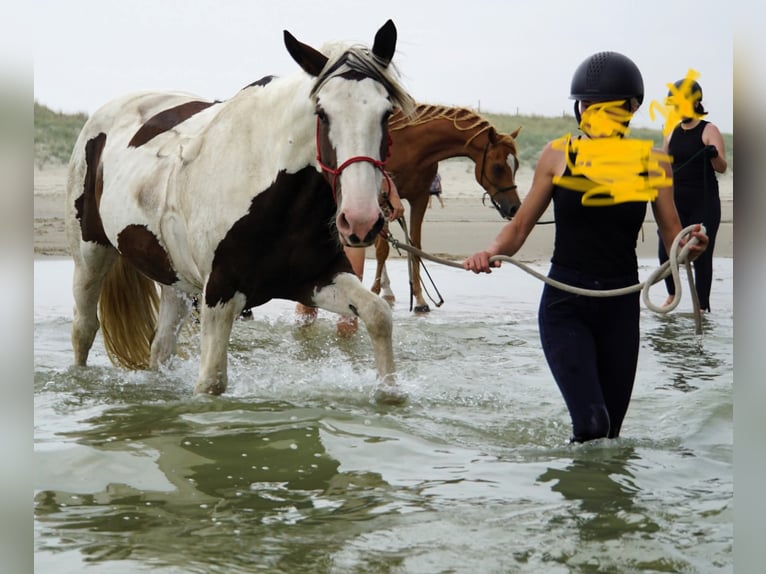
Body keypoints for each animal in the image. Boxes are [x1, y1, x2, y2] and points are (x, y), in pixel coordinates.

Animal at [64, 20, 415, 400]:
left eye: (386, 113)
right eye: (322, 113)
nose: (361, 220)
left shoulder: (318, 280)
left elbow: (378, 315)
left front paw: (389, 396)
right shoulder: (220, 295)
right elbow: (212, 382)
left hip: (175, 279)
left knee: (161, 346)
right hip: (90, 255)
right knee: (84, 328)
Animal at [372, 104, 522, 312]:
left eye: (517, 165)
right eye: (498, 167)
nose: (515, 207)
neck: (409, 147)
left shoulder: (420, 199)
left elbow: (414, 246)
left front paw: (420, 299)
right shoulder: (381, 200)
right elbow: (382, 249)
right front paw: (373, 292)